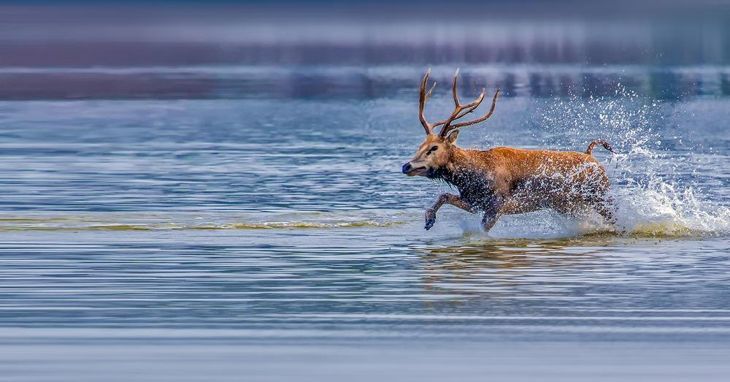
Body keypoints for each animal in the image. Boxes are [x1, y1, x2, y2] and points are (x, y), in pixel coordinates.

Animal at [398, 69, 616, 233]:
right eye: (420, 146)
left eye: (434, 147)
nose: (406, 166)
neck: (472, 176)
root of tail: (591, 155)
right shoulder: (474, 202)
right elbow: (443, 196)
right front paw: (429, 220)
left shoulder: (498, 204)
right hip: (569, 205)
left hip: (601, 195)